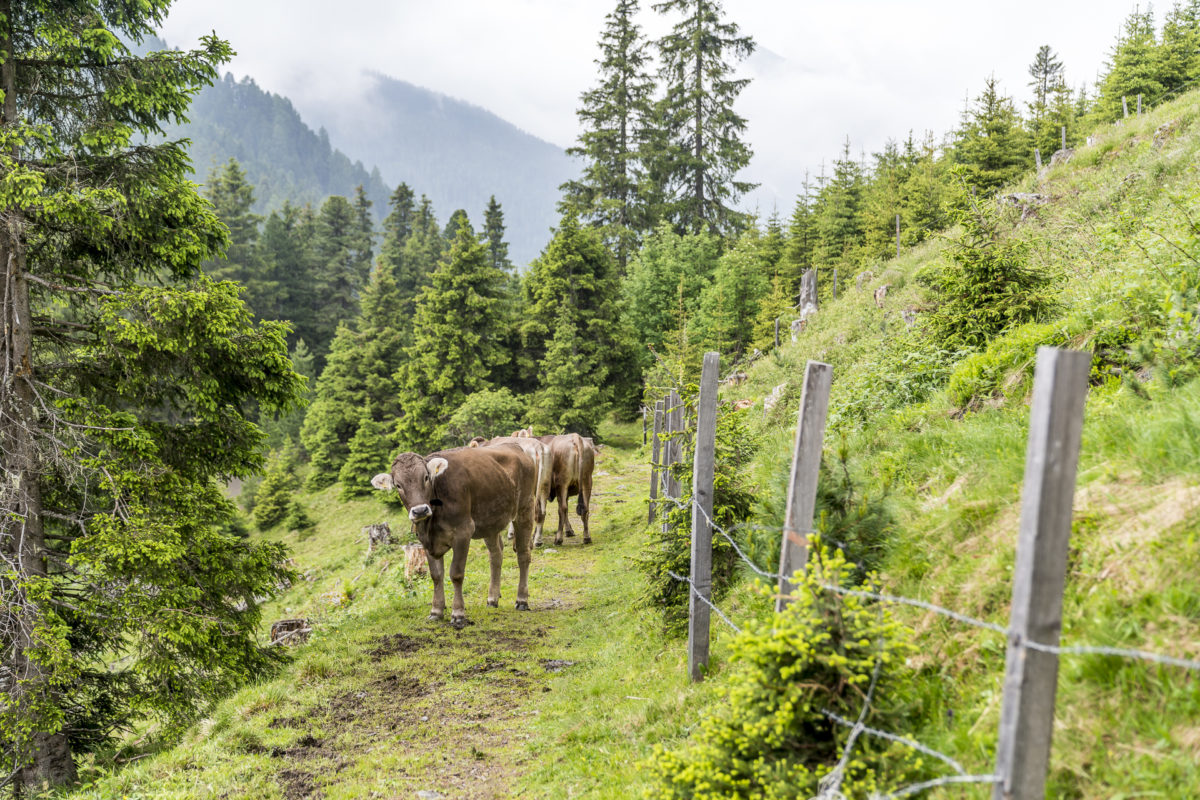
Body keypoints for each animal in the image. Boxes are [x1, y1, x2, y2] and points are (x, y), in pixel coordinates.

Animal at [367, 443, 532, 623]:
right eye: (398, 485)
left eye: (426, 477)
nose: (420, 510)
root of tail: (513, 445)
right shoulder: (426, 540)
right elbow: (436, 575)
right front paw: (436, 611)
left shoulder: (463, 532)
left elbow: (456, 574)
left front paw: (458, 613)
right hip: (490, 520)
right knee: (496, 556)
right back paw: (492, 599)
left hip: (525, 509)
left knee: (523, 555)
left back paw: (522, 600)